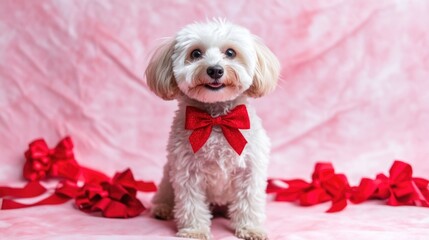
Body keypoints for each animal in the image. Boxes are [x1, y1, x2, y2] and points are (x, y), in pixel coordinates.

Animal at [146, 19, 280, 240]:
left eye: (231, 53)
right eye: (196, 53)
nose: (215, 70)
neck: (216, 120)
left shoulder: (250, 170)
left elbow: (249, 201)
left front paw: (250, 228)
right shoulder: (186, 170)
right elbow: (191, 203)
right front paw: (195, 230)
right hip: (167, 176)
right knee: (165, 195)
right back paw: (162, 209)